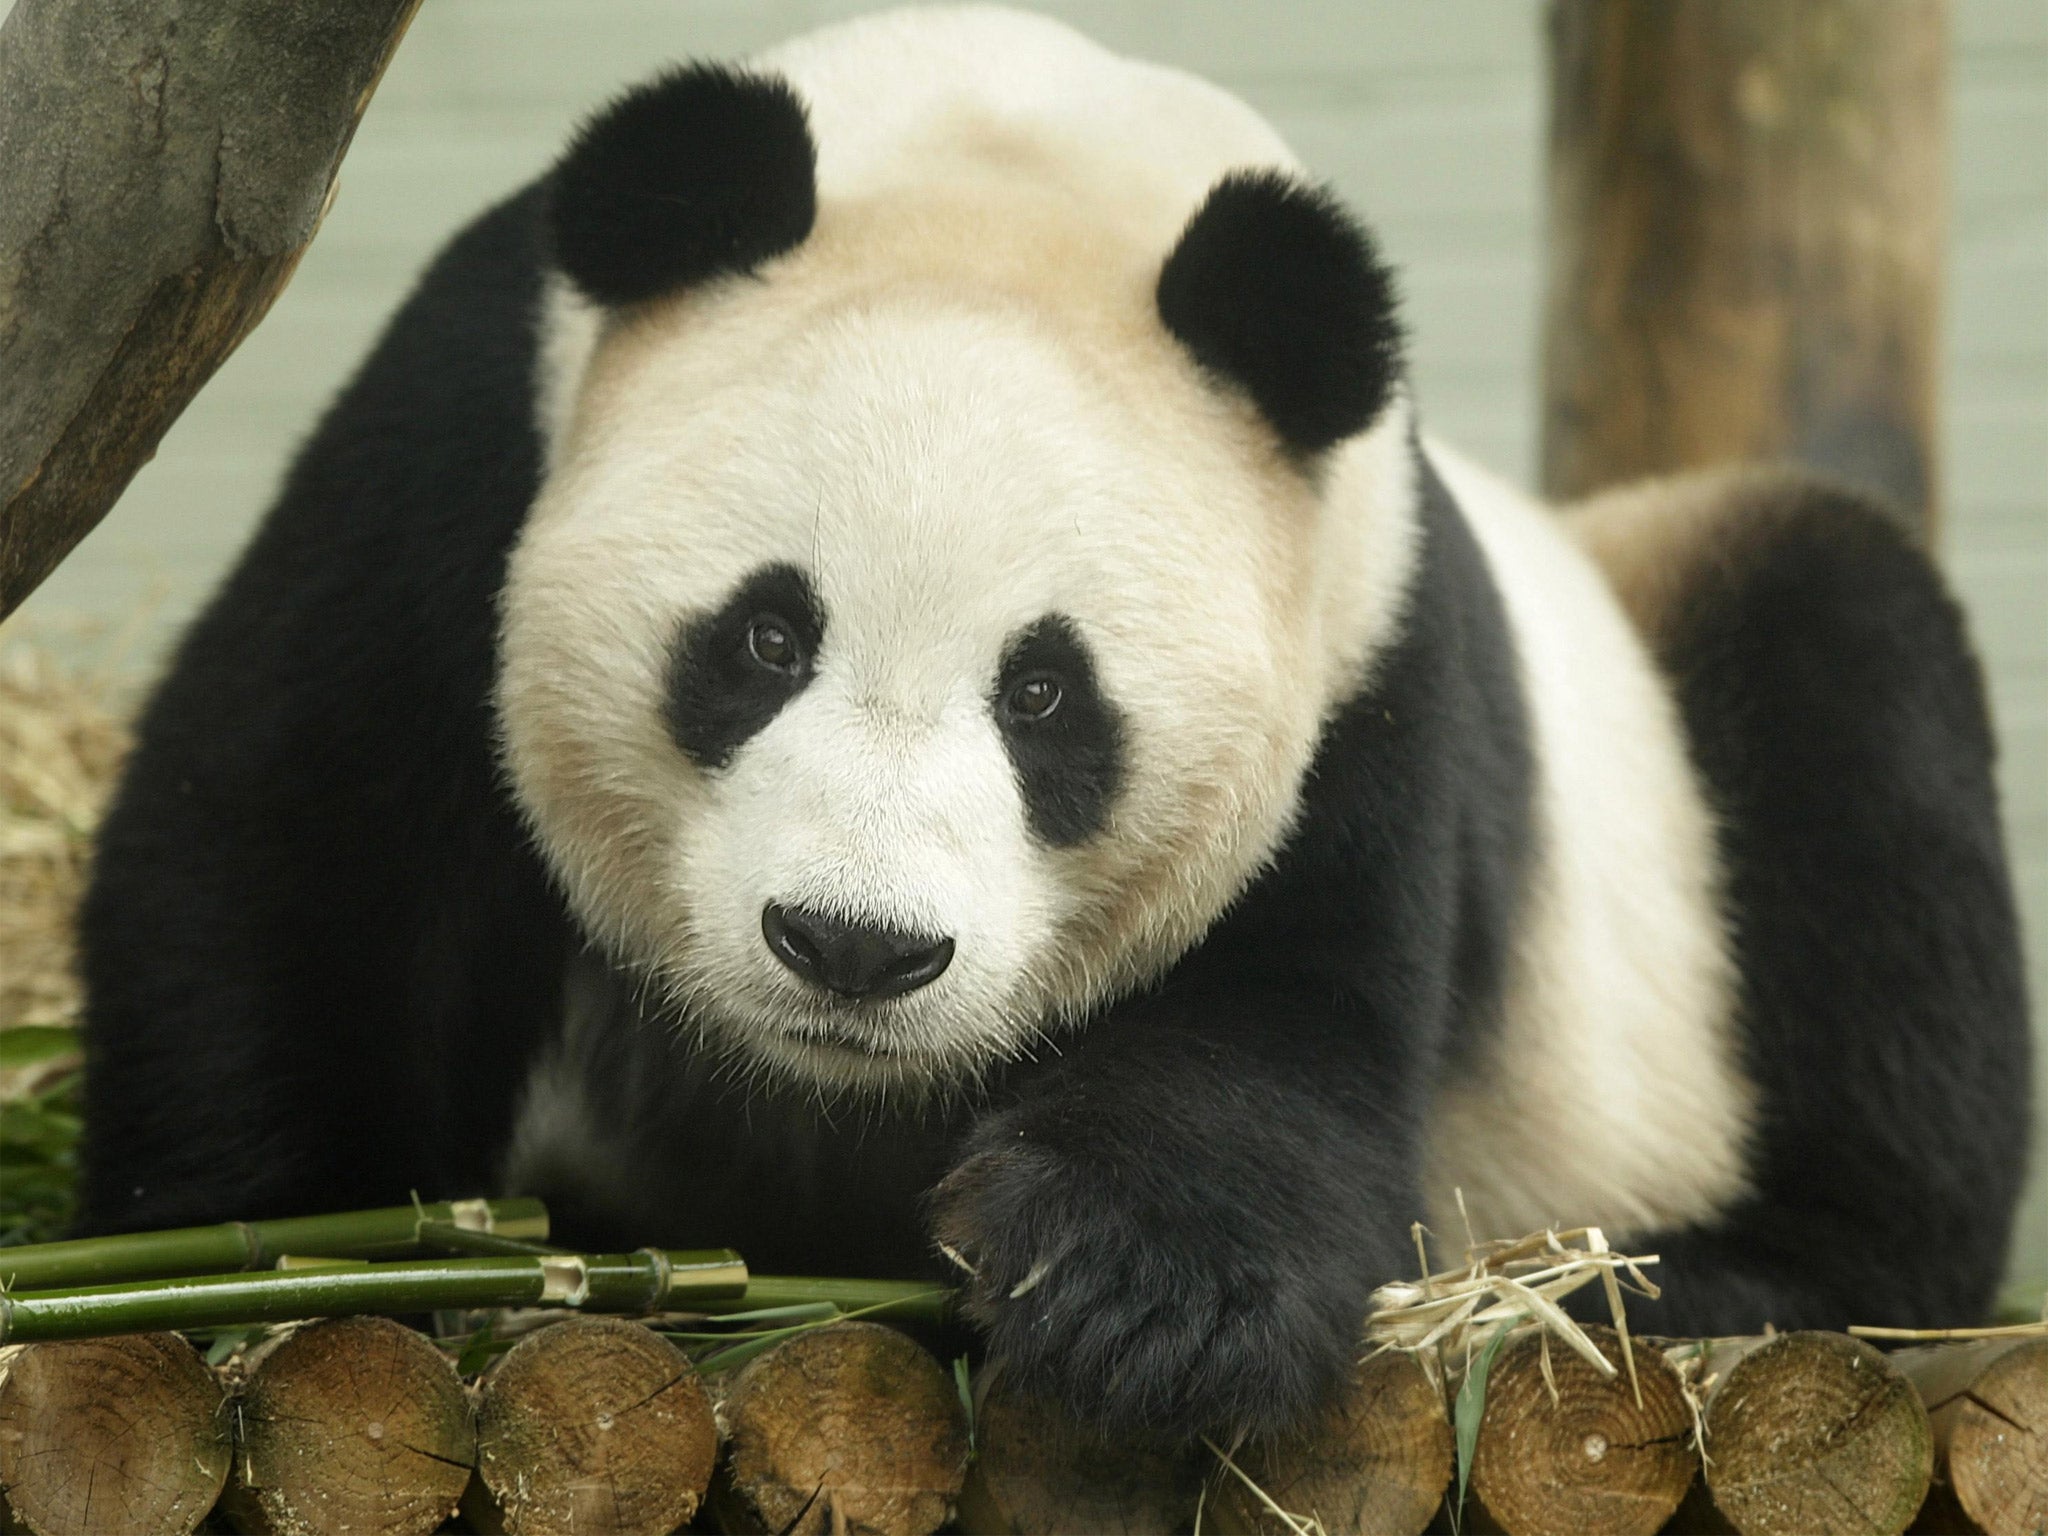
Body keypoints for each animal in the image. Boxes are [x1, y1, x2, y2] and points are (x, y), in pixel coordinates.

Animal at [79, 6, 2031, 1441]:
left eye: (1046, 695)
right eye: (763, 636)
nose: (850, 948)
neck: (1012, 166)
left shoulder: (1358, 632)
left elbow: (1288, 1024)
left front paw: (1127, 1301)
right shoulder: (470, 434)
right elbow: (297, 850)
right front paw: (297, 1262)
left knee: (1861, 720)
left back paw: (1703, 1285)